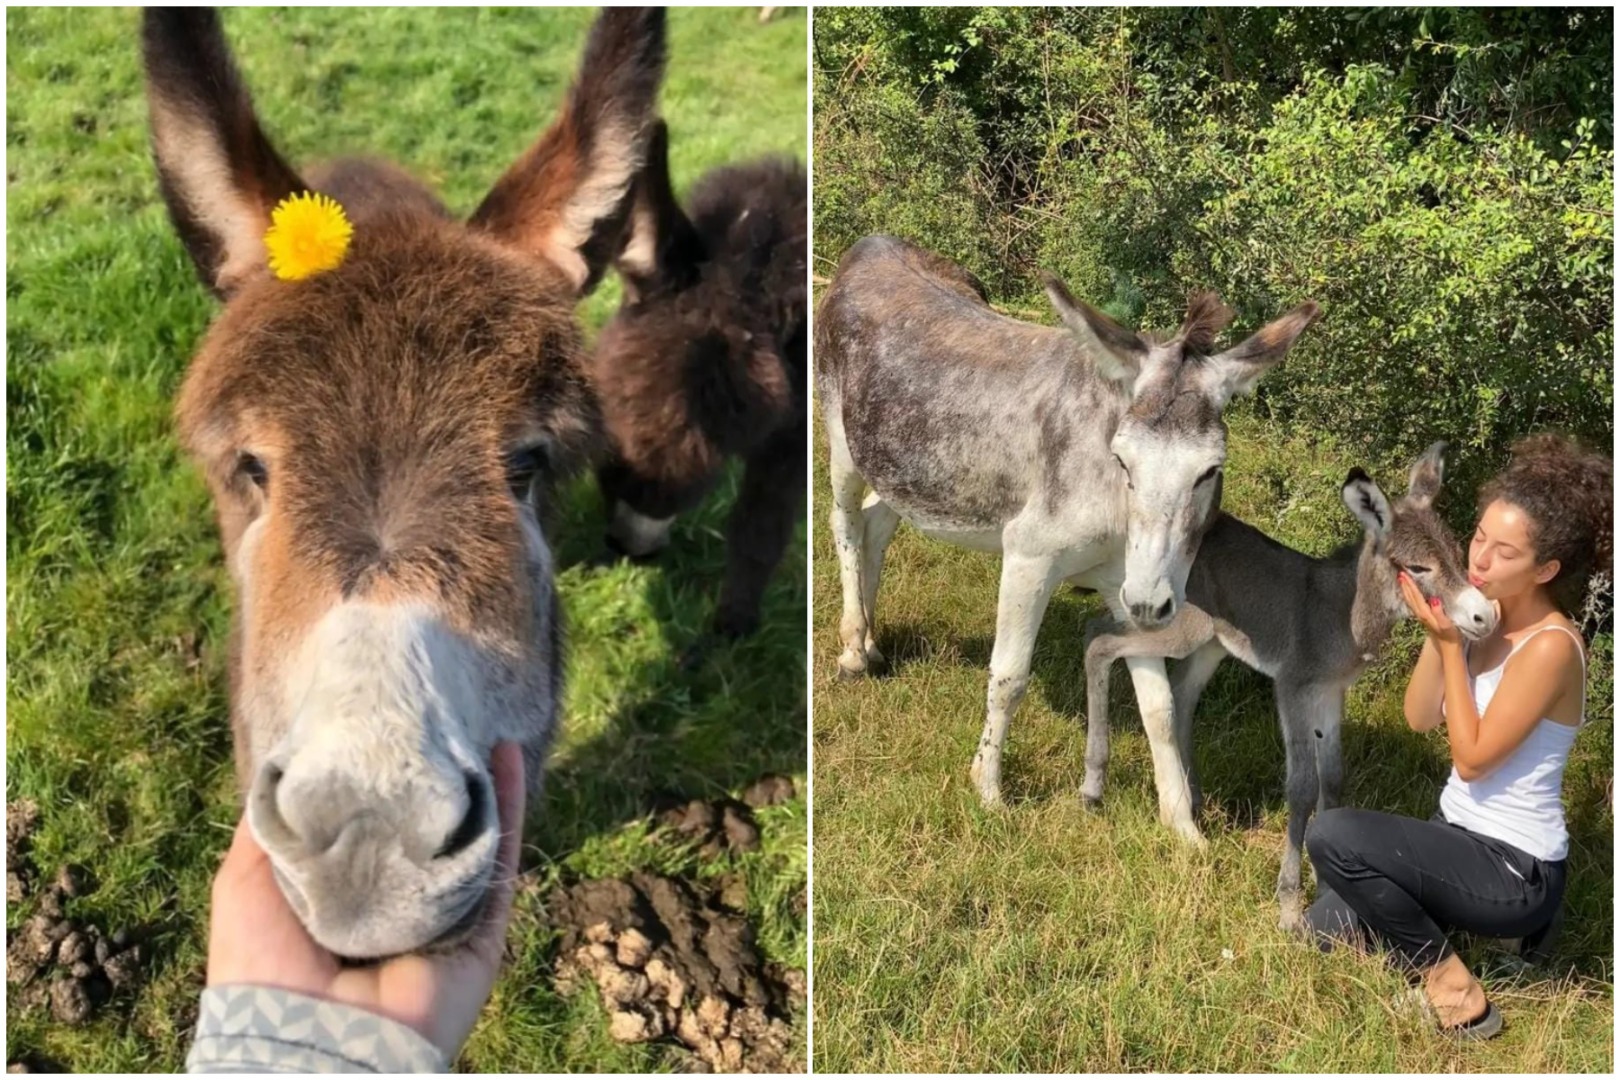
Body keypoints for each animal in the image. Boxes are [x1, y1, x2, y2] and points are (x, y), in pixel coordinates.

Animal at [822, 238, 1315, 841]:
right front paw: (988, 791)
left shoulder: (1123, 583)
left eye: (1210, 471)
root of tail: (873, 246)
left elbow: (1160, 707)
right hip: (840, 439)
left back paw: (872, 643)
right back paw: (852, 651)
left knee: (876, 525)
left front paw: (1184, 829)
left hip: (904, 468)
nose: (1154, 603)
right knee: (845, 525)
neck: (1115, 516)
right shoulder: (1028, 554)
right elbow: (1009, 675)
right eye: (1122, 458)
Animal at [1082, 446, 1496, 932]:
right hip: (1181, 628)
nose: (1485, 616)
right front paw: (1289, 905)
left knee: (1177, 692)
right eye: (1418, 568)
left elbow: (1332, 778)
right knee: (1098, 641)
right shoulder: (1294, 688)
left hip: (1211, 643)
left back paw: (1192, 798)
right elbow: (1301, 787)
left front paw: (1326, 882)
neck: (1341, 615)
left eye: (1458, 553)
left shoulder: (1332, 694)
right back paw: (1094, 787)